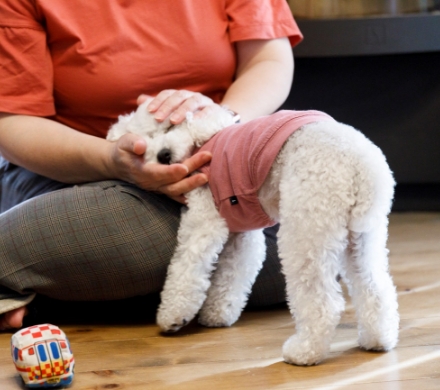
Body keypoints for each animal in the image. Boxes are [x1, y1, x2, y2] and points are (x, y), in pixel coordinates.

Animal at [107, 100, 398, 366]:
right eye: (139, 149)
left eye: (169, 125)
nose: (163, 156)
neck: (202, 145)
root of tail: (362, 167)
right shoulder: (243, 235)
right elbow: (232, 275)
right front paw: (217, 313)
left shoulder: (204, 219)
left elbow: (186, 269)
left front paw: (173, 316)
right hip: (361, 235)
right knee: (375, 287)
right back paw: (378, 339)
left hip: (306, 228)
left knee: (323, 303)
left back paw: (303, 352)